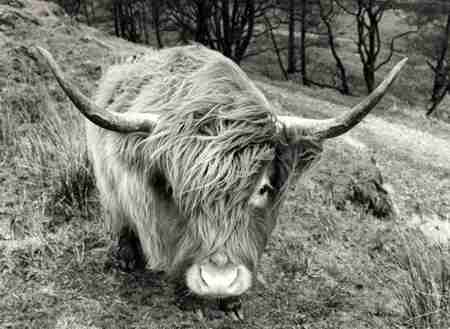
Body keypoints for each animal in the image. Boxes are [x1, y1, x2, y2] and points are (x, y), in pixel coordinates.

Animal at [36, 44, 408, 316]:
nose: (219, 281)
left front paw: (231, 302)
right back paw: (126, 257)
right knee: (119, 216)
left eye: (263, 188)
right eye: (174, 191)